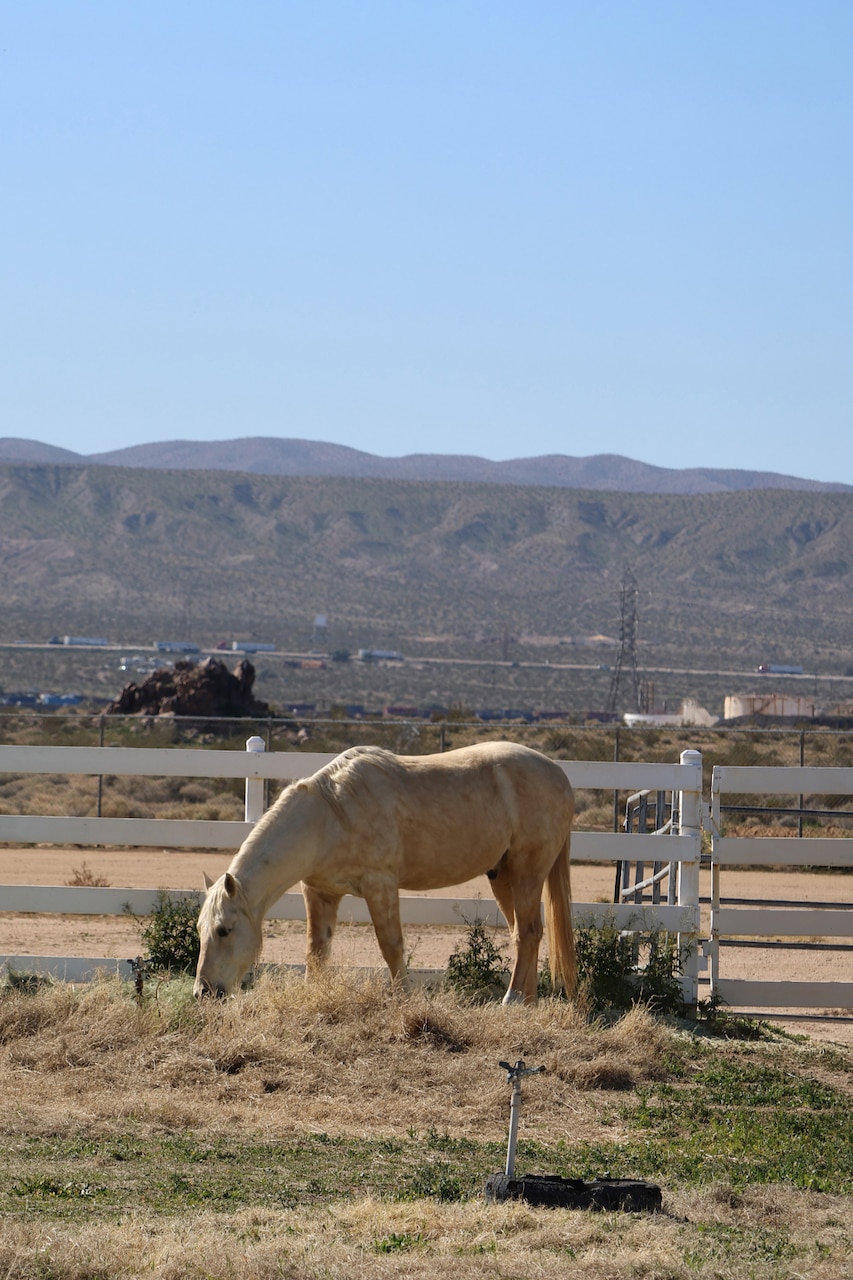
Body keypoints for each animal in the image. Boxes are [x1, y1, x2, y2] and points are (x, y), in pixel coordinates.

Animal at [194, 740, 576, 1004]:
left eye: (224, 930)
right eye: (201, 930)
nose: (204, 992)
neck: (331, 815)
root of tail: (559, 774)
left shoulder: (380, 886)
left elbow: (390, 946)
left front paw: (404, 997)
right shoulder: (320, 893)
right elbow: (316, 950)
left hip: (528, 871)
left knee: (527, 932)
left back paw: (512, 999)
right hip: (503, 875)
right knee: (528, 933)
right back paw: (528, 1000)